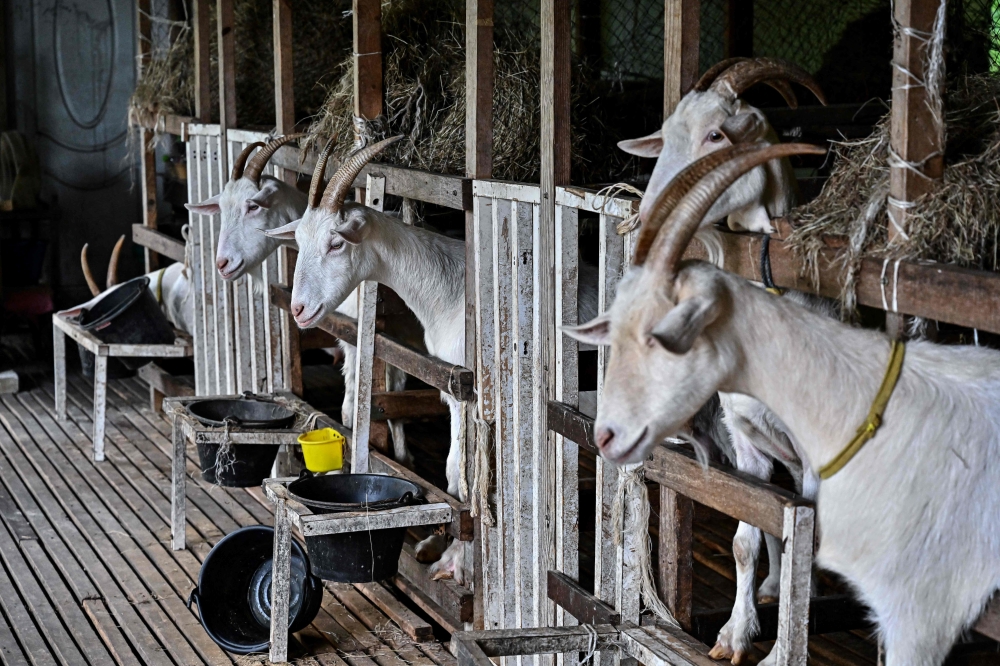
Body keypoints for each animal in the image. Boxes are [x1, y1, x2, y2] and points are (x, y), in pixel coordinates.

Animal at [565, 142, 1000, 666]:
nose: (608, 433)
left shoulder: (818, 459)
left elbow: (804, 544)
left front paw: (780, 644)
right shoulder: (746, 445)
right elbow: (745, 535)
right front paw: (735, 634)